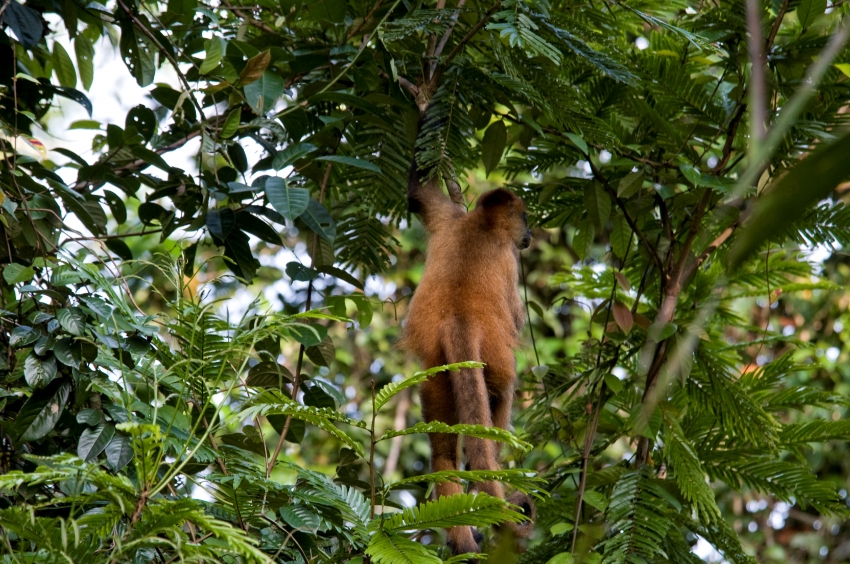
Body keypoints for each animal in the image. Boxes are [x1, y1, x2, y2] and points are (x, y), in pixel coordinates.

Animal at [400, 164, 532, 560]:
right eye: (524, 218)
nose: (530, 234)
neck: (480, 225)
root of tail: (459, 322)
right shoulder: (507, 256)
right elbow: (515, 318)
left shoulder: (451, 219)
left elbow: (418, 192)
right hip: (496, 359)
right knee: (503, 391)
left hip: (436, 376)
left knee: (442, 456)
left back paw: (460, 540)